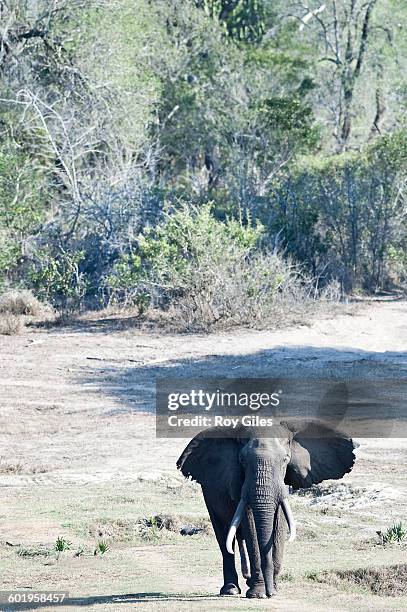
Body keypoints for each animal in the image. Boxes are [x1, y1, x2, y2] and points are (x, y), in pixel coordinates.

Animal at [177, 420, 356, 596]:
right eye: (242, 461)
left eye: (285, 460)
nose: (271, 593)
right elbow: (251, 526)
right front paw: (259, 593)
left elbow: (278, 523)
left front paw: (273, 589)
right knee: (224, 535)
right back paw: (230, 590)